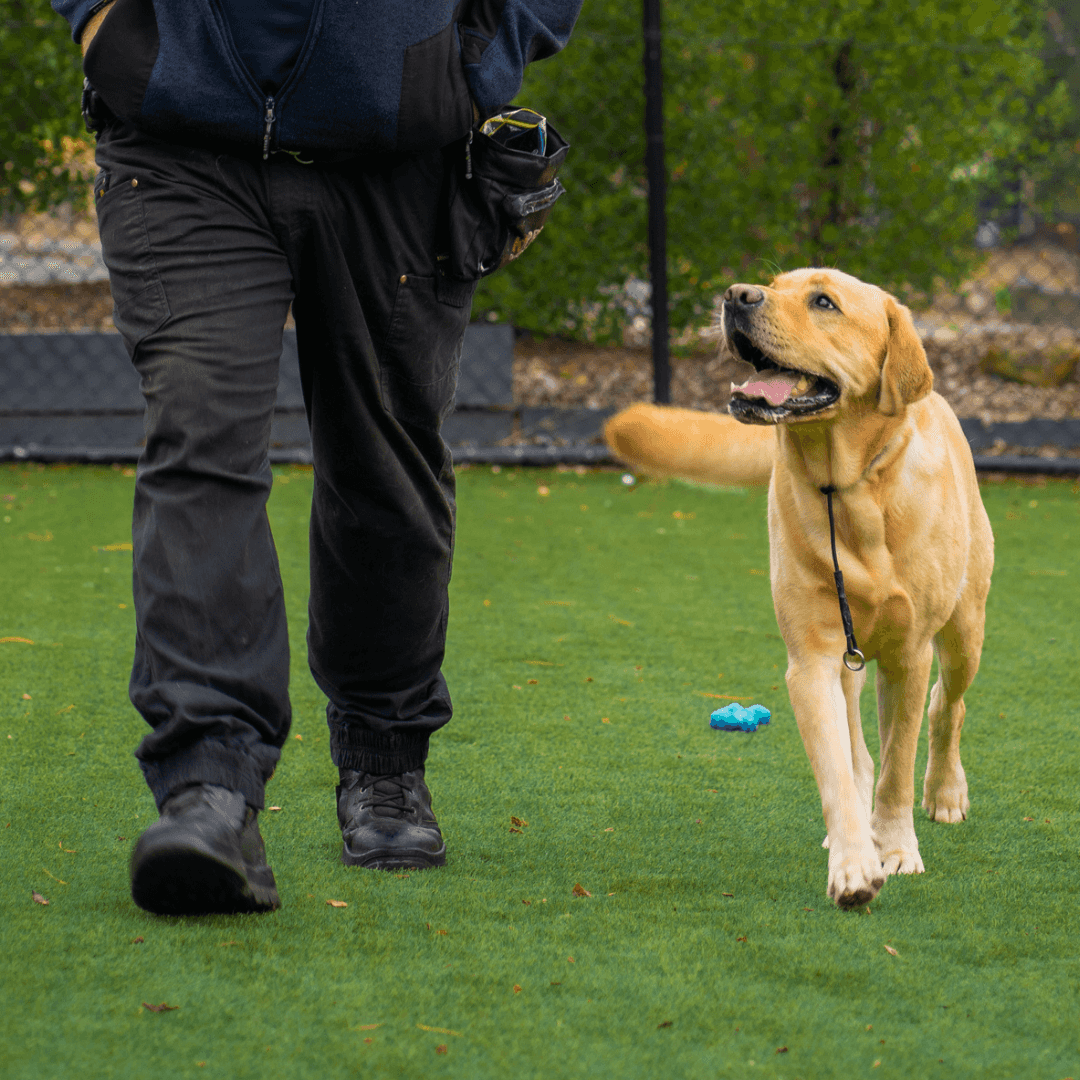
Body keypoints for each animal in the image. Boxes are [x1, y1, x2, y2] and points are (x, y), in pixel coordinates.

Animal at [604, 267, 989, 902]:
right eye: (773, 283)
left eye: (824, 302)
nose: (736, 296)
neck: (850, 491)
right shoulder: (811, 659)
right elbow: (838, 768)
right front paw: (856, 861)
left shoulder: (909, 655)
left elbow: (898, 767)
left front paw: (897, 847)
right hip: (851, 656)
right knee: (859, 748)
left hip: (964, 631)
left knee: (946, 707)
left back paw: (945, 792)